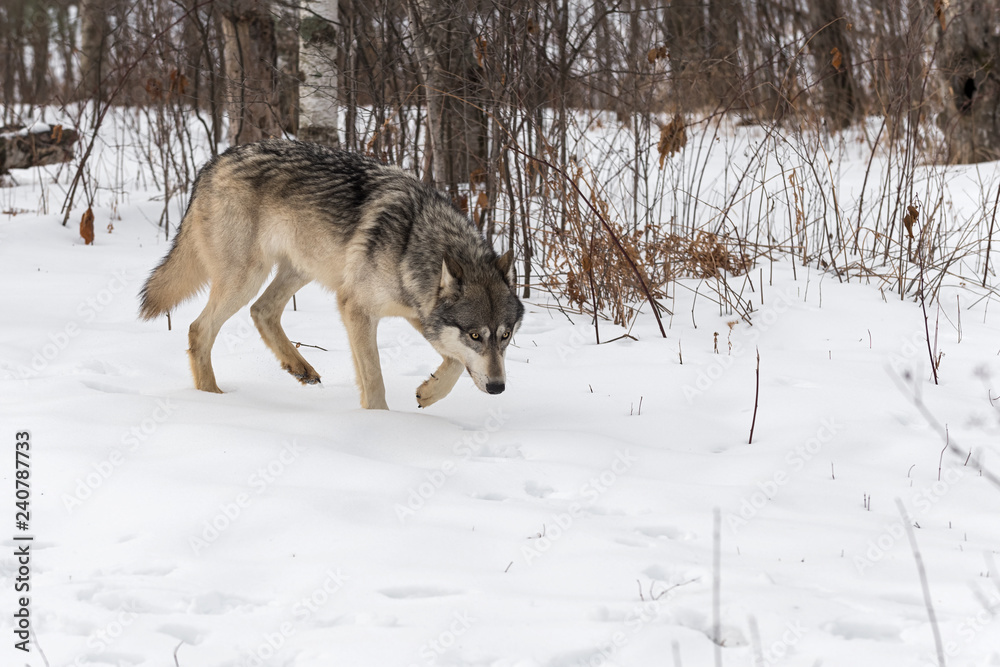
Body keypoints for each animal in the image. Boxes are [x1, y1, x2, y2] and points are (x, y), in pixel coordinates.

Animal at [139, 139, 524, 410]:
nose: (498, 387)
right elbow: (374, 380)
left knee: (262, 311)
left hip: (300, 269)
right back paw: (212, 398)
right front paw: (381, 423)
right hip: (247, 278)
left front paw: (428, 393)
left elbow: (455, 362)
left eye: (505, 336)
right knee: (199, 329)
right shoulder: (357, 309)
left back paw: (299, 367)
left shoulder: (418, 313)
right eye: (475, 336)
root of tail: (213, 162)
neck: (412, 242)